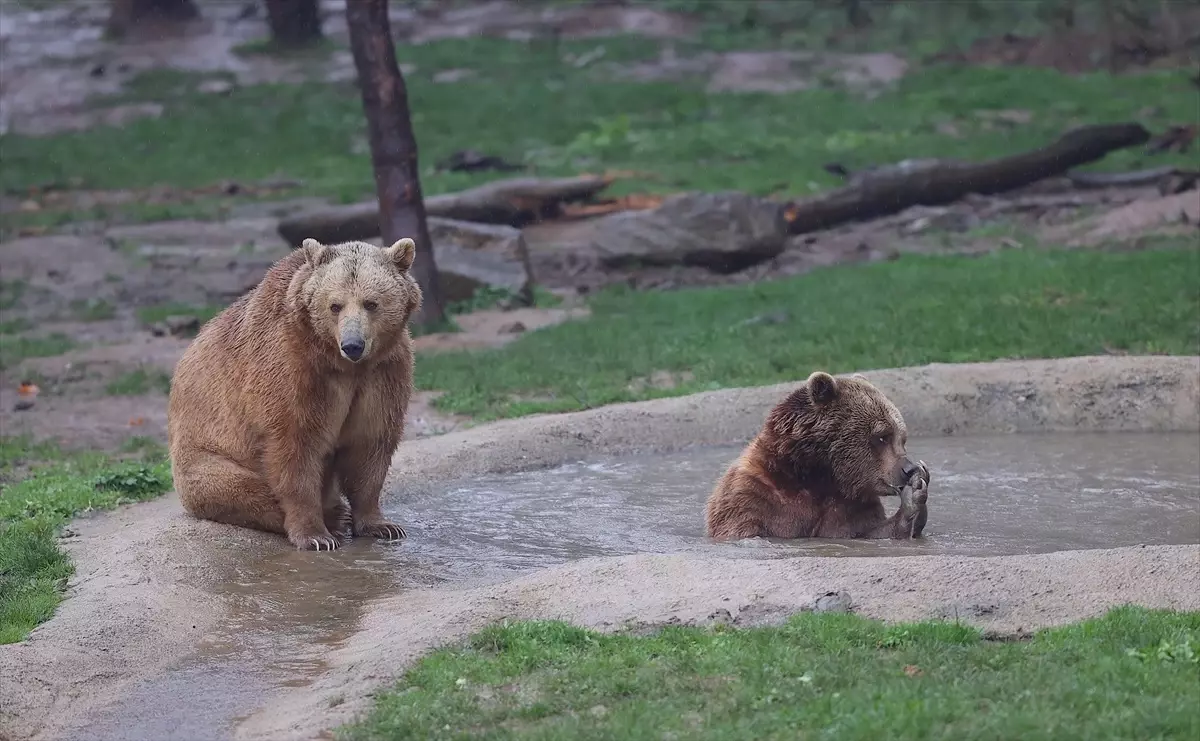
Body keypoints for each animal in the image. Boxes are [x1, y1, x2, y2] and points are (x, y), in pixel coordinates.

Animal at [166, 236, 422, 549]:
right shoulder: (293, 367)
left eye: (371, 303)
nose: (352, 345)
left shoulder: (383, 371)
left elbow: (369, 443)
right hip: (205, 457)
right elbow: (296, 445)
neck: (341, 364)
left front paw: (381, 525)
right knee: (241, 489)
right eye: (335, 305)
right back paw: (334, 518)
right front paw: (316, 536)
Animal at [705, 371, 931, 539]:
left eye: (902, 438)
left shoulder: (849, 508)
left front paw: (914, 499)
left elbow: (869, 530)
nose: (909, 468)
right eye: (883, 436)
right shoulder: (752, 495)